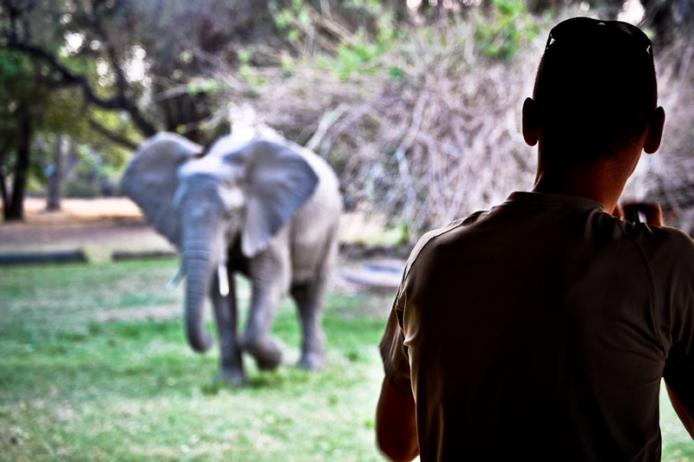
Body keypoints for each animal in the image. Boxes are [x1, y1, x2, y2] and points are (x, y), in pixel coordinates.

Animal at [122, 131, 346, 386]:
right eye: (177, 212)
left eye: (230, 215)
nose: (207, 338)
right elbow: (220, 296)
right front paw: (230, 382)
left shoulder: (268, 218)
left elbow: (271, 280)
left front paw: (272, 362)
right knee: (301, 296)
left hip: (332, 227)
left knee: (311, 295)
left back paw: (310, 368)